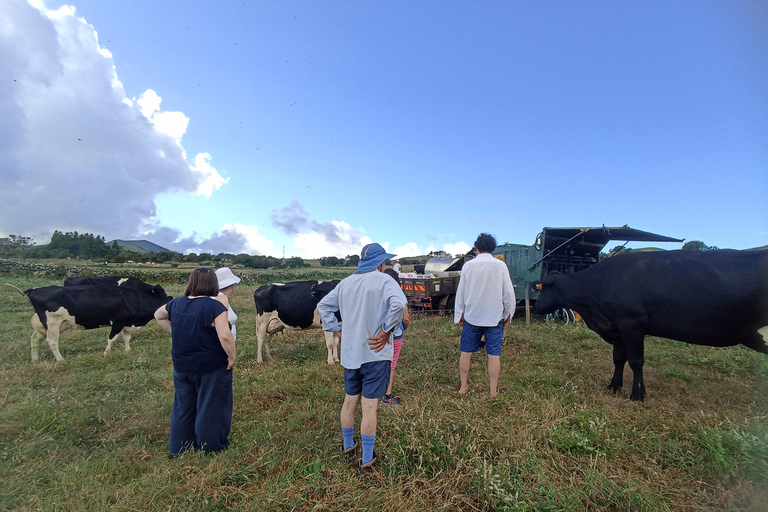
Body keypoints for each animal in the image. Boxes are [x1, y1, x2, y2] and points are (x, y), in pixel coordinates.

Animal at [12, 282, 171, 362]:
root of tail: (34, 290)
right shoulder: (118, 322)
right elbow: (112, 339)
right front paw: (106, 354)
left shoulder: (128, 323)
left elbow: (126, 338)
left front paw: (128, 351)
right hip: (53, 323)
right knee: (52, 341)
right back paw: (61, 360)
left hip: (49, 324)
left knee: (35, 339)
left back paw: (35, 360)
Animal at [536, 248, 768, 400]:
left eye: (541, 288)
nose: (536, 307)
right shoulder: (616, 327)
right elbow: (618, 359)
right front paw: (613, 386)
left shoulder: (632, 323)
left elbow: (635, 361)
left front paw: (637, 394)